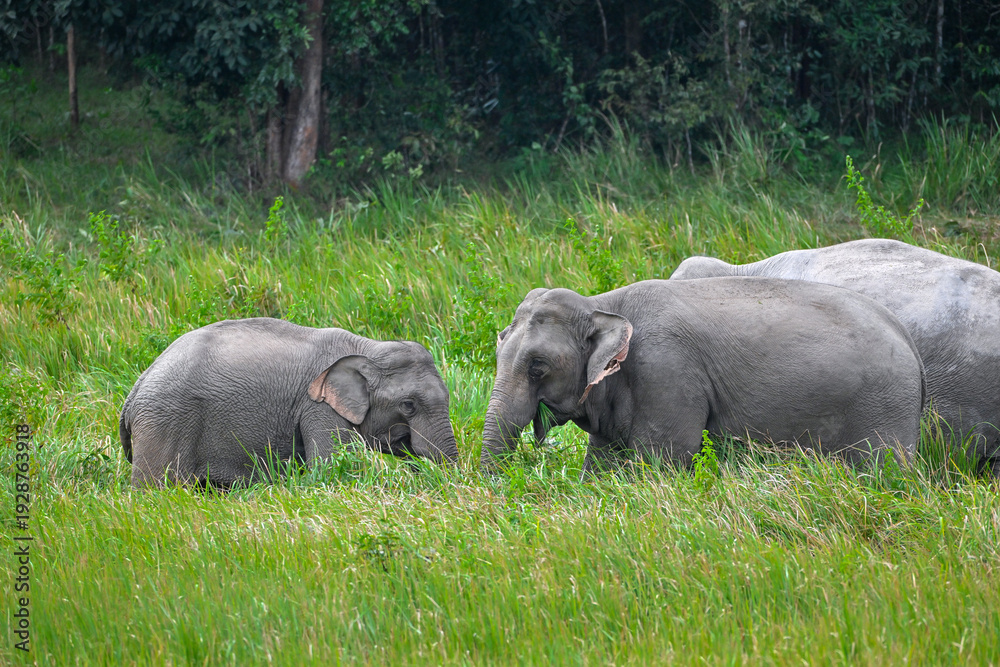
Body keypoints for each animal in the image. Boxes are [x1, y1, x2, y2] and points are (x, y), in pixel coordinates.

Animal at [120, 318, 458, 488]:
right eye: (408, 405)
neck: (368, 347)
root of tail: (134, 390)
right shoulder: (318, 408)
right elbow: (330, 466)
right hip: (165, 423)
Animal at [481, 279, 925, 475]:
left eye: (538, 366)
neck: (602, 303)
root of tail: (911, 345)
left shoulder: (666, 373)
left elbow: (662, 462)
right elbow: (603, 462)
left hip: (884, 409)